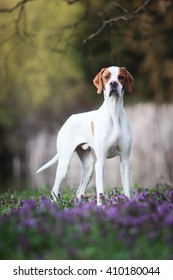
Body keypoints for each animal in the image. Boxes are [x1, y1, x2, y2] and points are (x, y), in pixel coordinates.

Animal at [36, 66, 134, 205]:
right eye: (106, 77)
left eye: (121, 77)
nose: (113, 83)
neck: (114, 112)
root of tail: (68, 120)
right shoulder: (100, 162)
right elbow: (100, 193)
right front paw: (100, 207)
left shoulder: (125, 160)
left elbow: (127, 190)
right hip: (64, 165)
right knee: (54, 191)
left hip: (88, 168)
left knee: (79, 192)